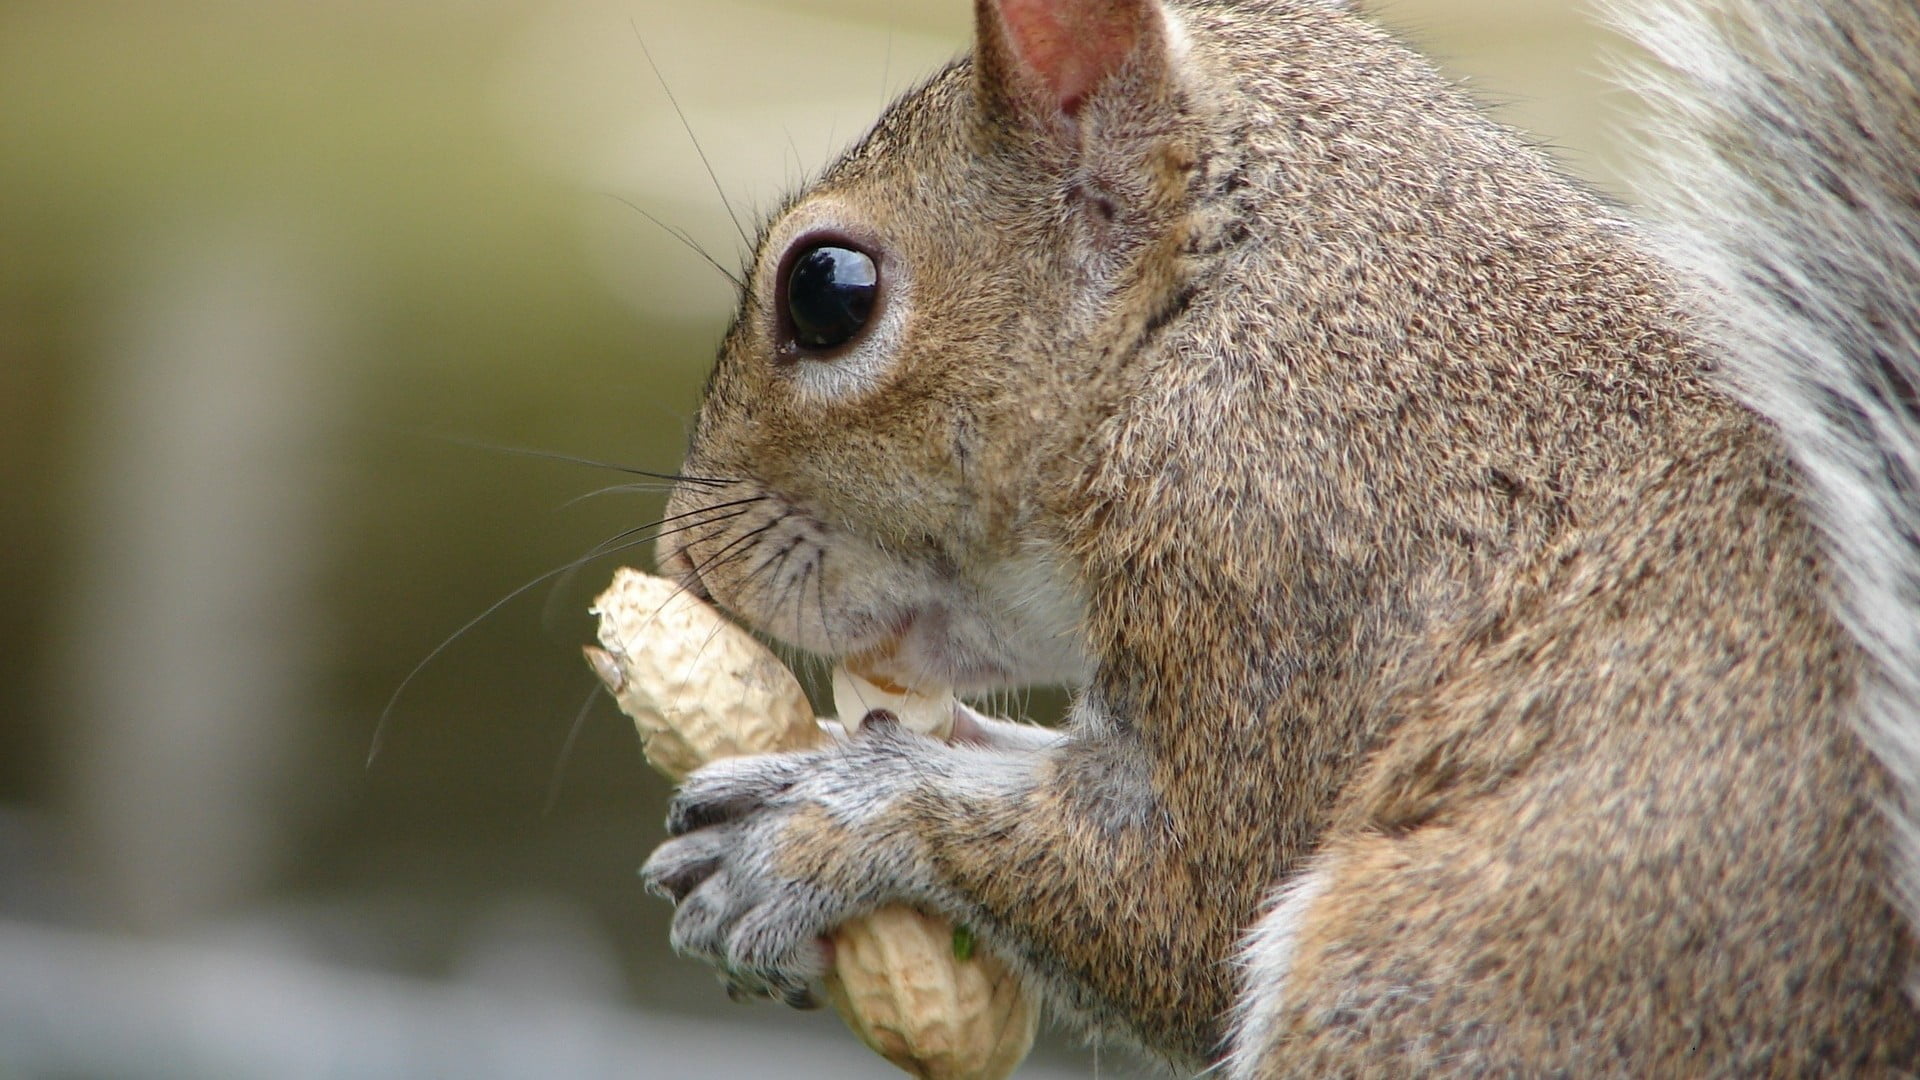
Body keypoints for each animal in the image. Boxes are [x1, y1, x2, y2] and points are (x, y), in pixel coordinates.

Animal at [633, 0, 1920, 1060]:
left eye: (827, 291)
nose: (684, 556)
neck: (1233, 310)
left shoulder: (1283, 551)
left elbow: (1182, 901)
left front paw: (806, 827)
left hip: (1415, 981)